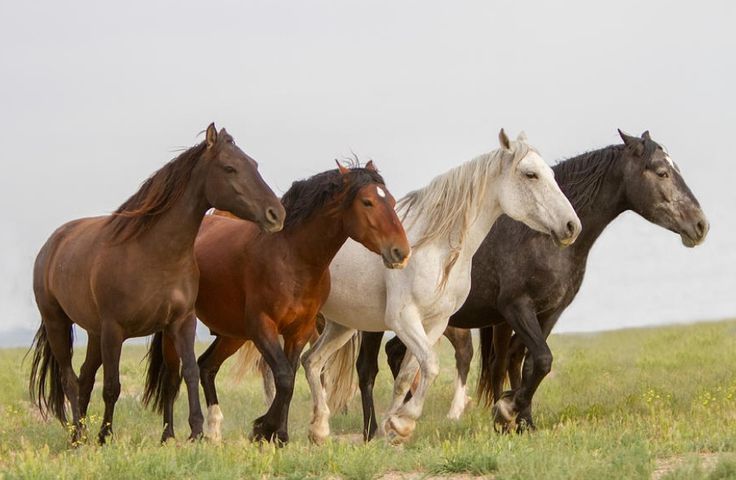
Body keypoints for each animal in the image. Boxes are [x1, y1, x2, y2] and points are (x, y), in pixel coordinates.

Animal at [29, 124, 285, 445]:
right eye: (229, 168)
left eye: (254, 164)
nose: (276, 214)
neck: (153, 253)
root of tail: (52, 243)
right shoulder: (114, 330)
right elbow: (112, 386)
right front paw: (105, 436)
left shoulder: (181, 322)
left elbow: (188, 373)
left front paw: (196, 432)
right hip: (59, 324)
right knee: (69, 379)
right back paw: (79, 436)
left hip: (93, 332)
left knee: (85, 376)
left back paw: (81, 432)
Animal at [142, 161, 410, 444]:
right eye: (367, 202)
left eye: (392, 201)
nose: (400, 251)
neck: (291, 257)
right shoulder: (263, 327)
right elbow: (283, 377)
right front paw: (265, 428)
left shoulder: (299, 330)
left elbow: (289, 377)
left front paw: (278, 433)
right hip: (181, 330)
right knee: (172, 378)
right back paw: (169, 435)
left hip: (233, 334)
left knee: (207, 366)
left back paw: (213, 431)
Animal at [297, 129, 581, 445]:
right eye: (530, 174)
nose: (571, 226)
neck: (434, 246)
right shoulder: (403, 318)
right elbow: (430, 366)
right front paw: (404, 422)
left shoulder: (435, 322)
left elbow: (408, 374)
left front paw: (393, 427)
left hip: (342, 325)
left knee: (311, 361)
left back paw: (319, 429)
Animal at [373, 129, 709, 436]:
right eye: (662, 172)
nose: (700, 225)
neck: (539, 236)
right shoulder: (516, 307)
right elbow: (543, 359)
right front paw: (507, 410)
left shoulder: (549, 312)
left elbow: (531, 364)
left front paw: (522, 421)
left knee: (399, 353)